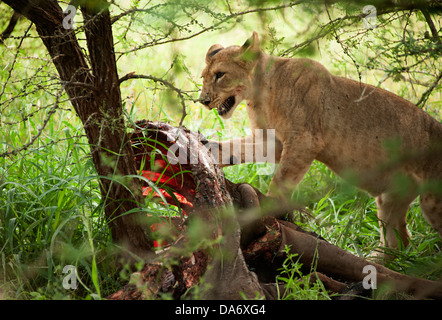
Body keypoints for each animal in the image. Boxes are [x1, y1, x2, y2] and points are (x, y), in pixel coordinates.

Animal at [199, 31, 442, 258]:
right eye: (203, 77)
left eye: (220, 75)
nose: (203, 101)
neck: (260, 96)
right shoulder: (270, 142)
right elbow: (232, 149)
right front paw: (203, 147)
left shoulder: (303, 140)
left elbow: (281, 180)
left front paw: (271, 209)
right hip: (391, 198)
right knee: (399, 242)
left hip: (432, 202)